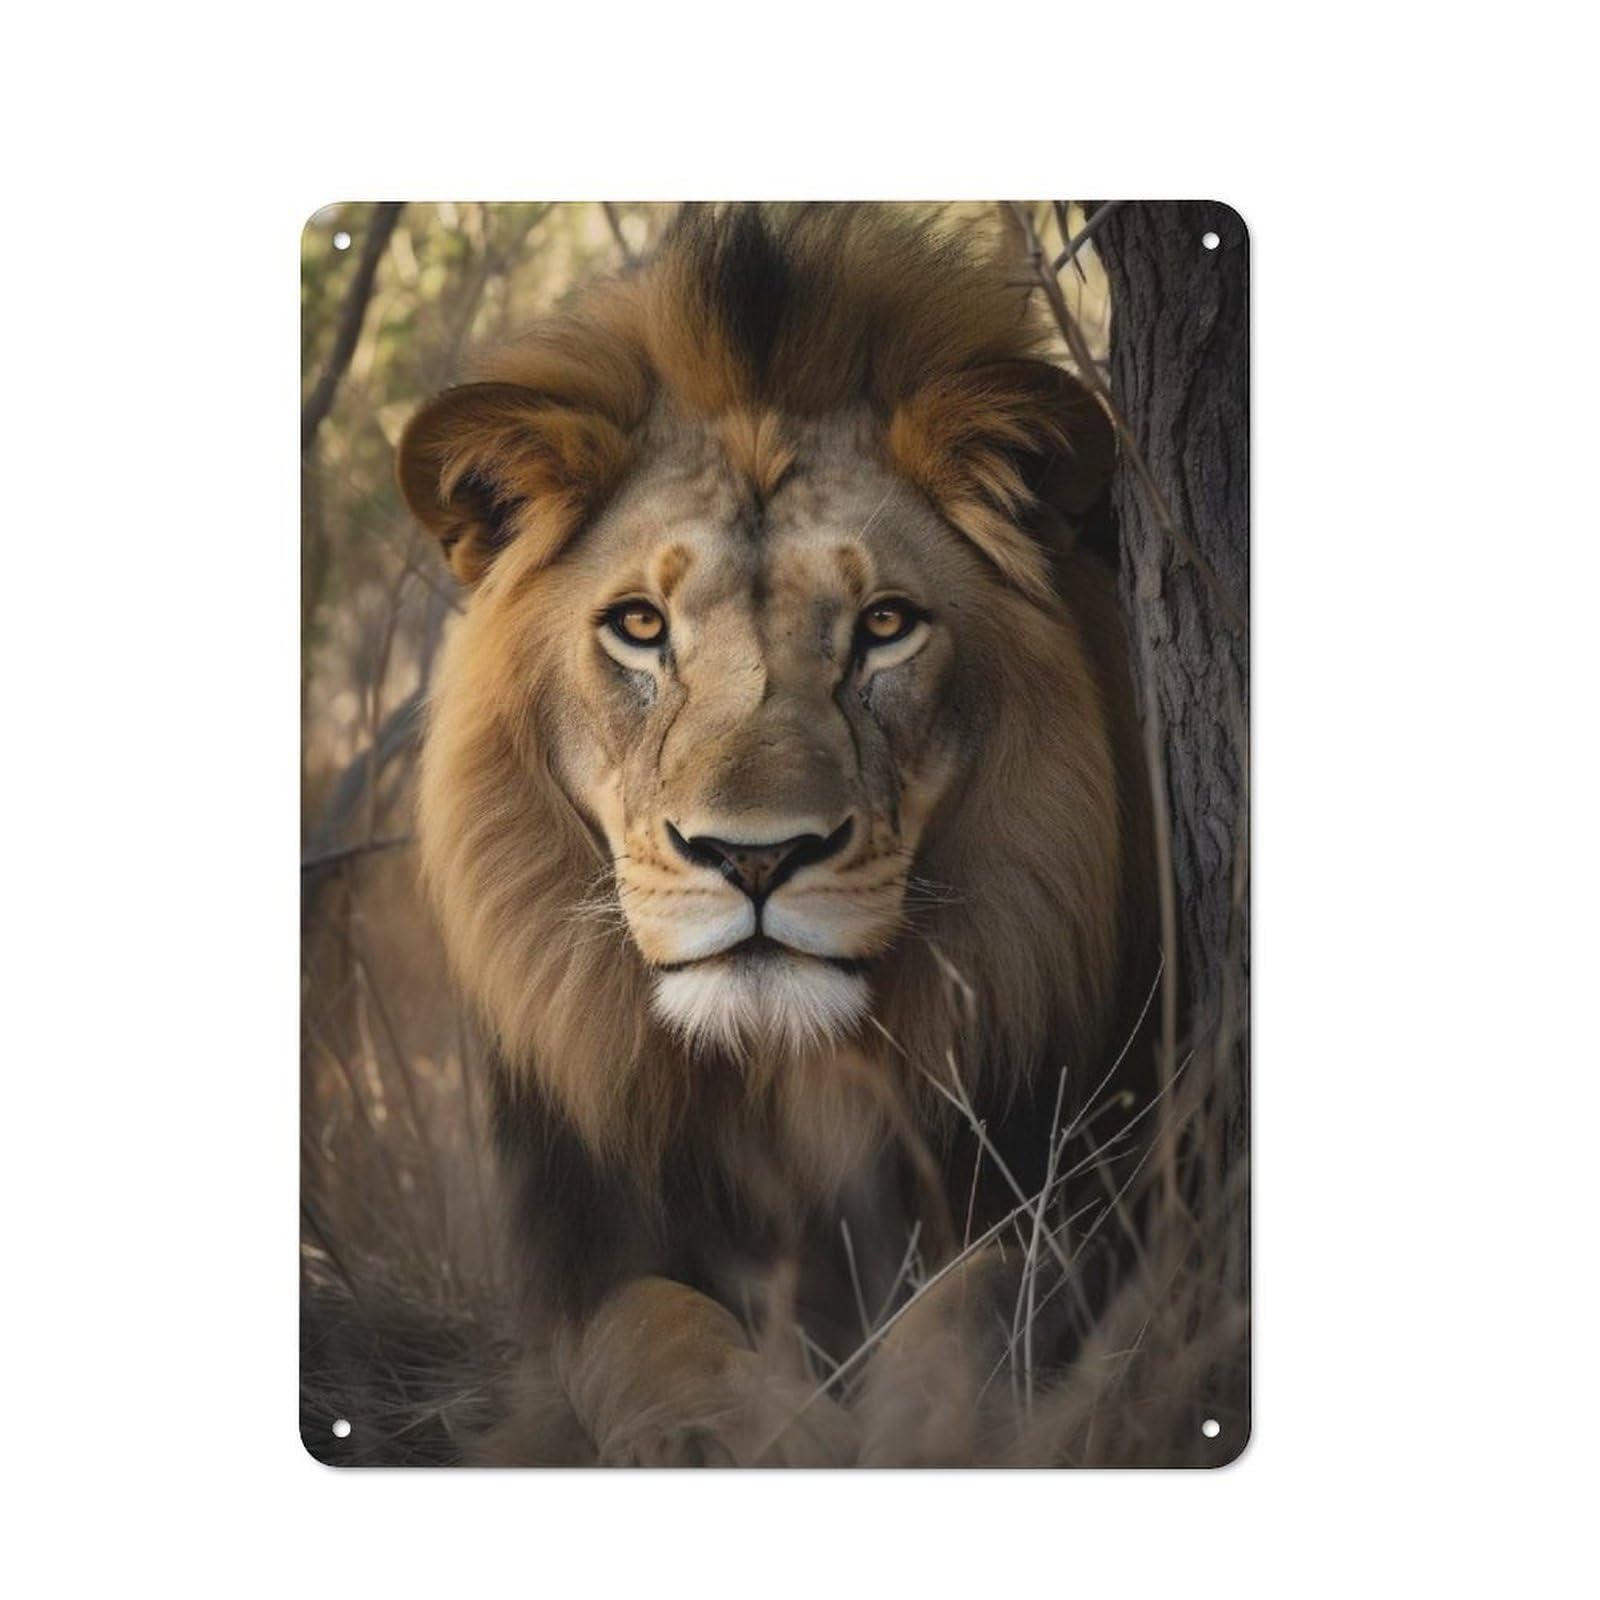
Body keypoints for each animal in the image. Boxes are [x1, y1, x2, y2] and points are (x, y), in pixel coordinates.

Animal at [397, 204, 1155, 1466]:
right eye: (639, 626)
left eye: (885, 625)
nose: (753, 857)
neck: (787, 1086)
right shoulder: (581, 1264)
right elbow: (648, 1324)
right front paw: (734, 1433)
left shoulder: (1101, 1182)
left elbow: (987, 1290)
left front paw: (915, 1430)